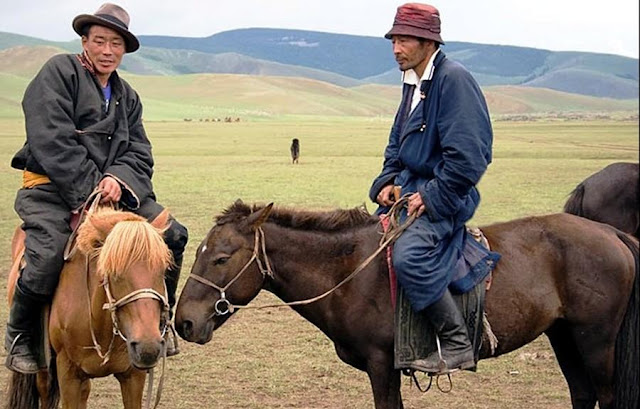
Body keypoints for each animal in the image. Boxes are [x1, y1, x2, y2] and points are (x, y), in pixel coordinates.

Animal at [176, 200, 640, 408]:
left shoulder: (382, 364)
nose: (184, 323)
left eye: (221, 258)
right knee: (582, 393)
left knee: (605, 395)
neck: (349, 272)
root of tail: (611, 233)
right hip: (564, 337)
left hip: (596, 342)